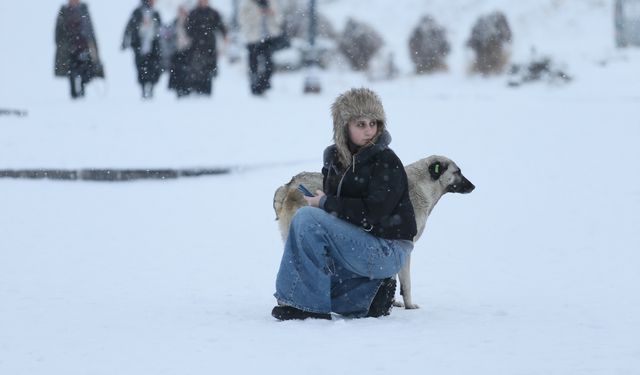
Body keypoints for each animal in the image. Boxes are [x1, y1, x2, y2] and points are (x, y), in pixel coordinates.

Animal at [274, 154, 476, 310]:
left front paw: (392, 302)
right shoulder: (404, 247)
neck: (423, 186)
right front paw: (408, 305)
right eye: (457, 172)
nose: (473, 186)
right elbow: (406, 283)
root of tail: (289, 186)